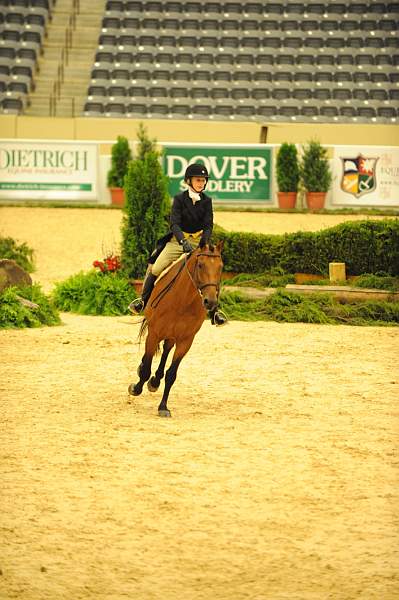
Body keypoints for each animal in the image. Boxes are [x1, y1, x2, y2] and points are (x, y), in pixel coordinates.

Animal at [130, 241, 227, 414]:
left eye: (221, 267)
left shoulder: (185, 341)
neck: (183, 301)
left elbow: (171, 374)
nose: (210, 302)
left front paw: (163, 407)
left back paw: (155, 381)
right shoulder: (154, 333)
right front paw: (136, 388)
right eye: (200, 265)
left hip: (172, 335)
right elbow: (147, 367)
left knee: (166, 351)